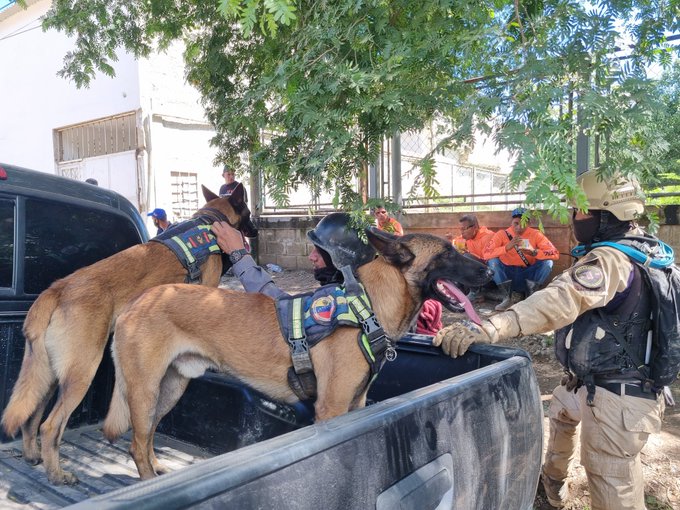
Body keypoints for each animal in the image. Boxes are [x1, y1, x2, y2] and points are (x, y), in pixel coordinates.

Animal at [102, 229, 494, 480]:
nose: (489, 270)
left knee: (146, 436)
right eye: (447, 253)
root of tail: (137, 301)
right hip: (145, 390)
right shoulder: (331, 409)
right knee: (136, 444)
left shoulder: (356, 406)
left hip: (168, 389)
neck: (366, 305)